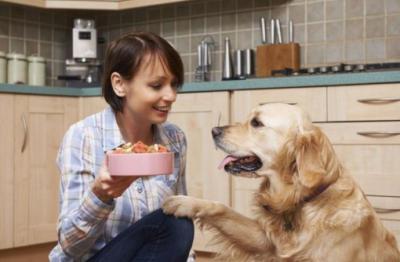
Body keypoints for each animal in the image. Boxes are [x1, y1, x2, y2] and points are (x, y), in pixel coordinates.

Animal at [163, 103, 400, 260]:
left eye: (256, 123)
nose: (214, 130)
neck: (300, 200)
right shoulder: (264, 242)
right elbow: (222, 208)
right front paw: (184, 202)